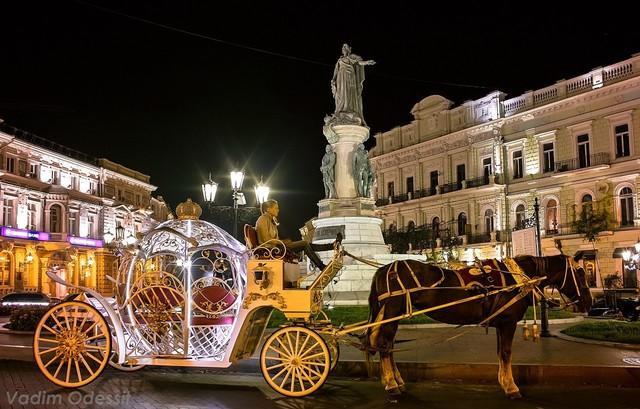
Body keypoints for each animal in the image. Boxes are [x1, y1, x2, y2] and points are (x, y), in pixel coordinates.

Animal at [368, 253, 592, 396]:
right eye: (580, 273)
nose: (589, 302)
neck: (517, 278)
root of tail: (383, 269)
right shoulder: (508, 323)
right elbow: (506, 353)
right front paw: (511, 388)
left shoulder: (501, 323)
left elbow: (500, 352)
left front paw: (503, 382)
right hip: (392, 312)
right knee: (385, 345)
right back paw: (391, 385)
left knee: (388, 345)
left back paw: (397, 381)